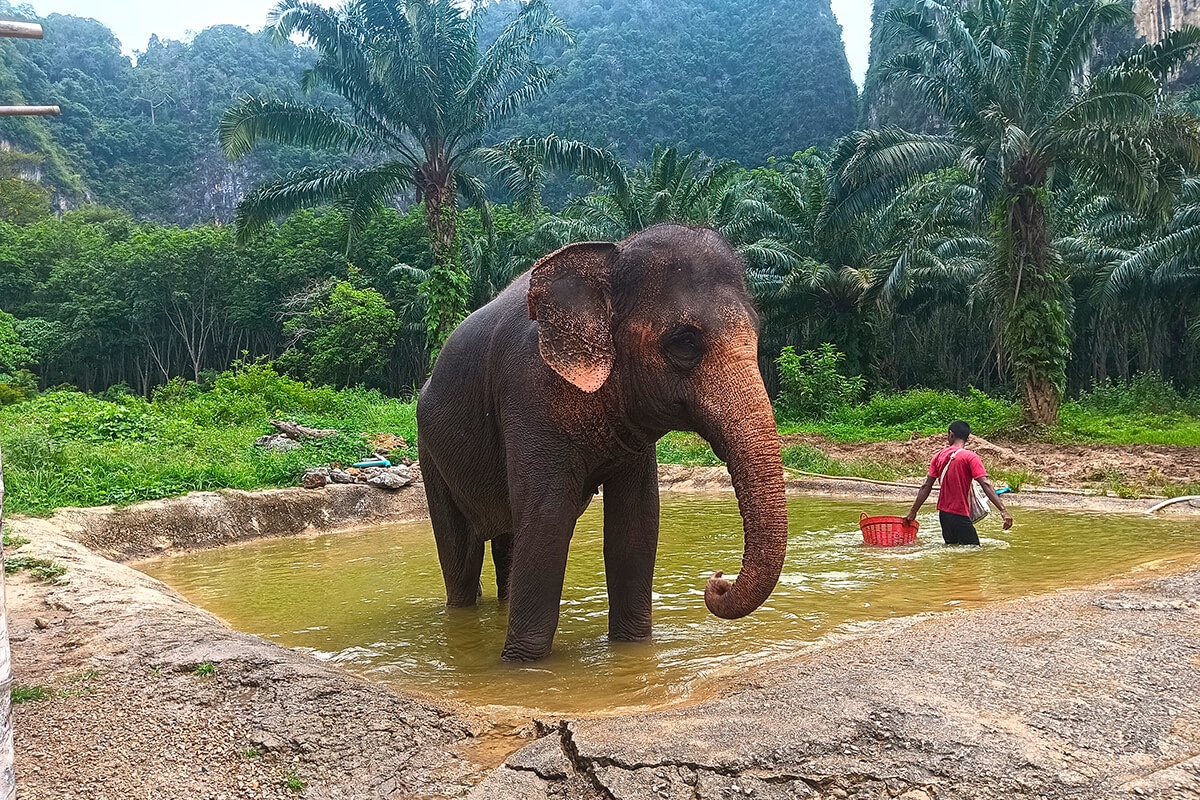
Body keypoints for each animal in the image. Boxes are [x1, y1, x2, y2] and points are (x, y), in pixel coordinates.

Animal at [416, 223, 788, 661]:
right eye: (686, 342)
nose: (717, 580)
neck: (612, 256)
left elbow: (637, 523)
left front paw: (632, 650)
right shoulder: (529, 392)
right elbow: (547, 521)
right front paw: (521, 666)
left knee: (507, 543)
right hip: (429, 452)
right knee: (461, 556)